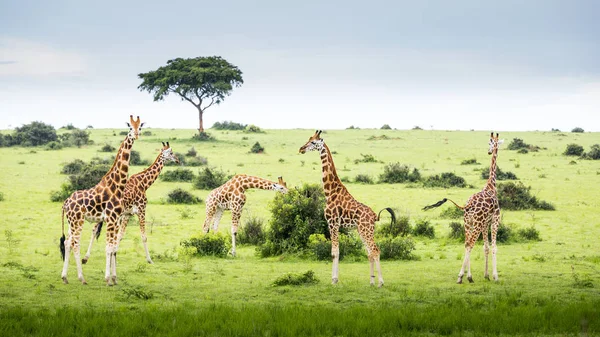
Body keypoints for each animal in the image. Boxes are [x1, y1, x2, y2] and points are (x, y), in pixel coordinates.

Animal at [59, 115, 144, 284]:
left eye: (140, 127)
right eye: (130, 127)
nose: (136, 135)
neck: (117, 185)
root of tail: (65, 203)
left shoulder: (115, 219)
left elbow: (112, 247)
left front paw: (112, 278)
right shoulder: (111, 218)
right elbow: (109, 247)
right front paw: (108, 279)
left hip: (72, 222)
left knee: (67, 242)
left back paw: (65, 277)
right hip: (78, 221)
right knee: (75, 244)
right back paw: (82, 278)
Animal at [298, 130, 396, 284]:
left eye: (313, 142)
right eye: (308, 139)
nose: (301, 149)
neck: (330, 192)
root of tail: (375, 216)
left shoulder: (332, 222)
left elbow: (334, 252)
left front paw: (334, 280)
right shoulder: (335, 224)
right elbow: (336, 251)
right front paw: (335, 278)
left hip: (366, 230)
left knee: (375, 250)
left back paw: (380, 282)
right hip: (362, 230)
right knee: (370, 252)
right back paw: (372, 282)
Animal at [422, 133, 506, 282]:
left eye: (491, 143)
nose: (489, 151)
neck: (491, 185)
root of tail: (469, 204)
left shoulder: (485, 224)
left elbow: (486, 247)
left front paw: (486, 275)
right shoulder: (495, 220)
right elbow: (494, 247)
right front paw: (495, 276)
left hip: (468, 222)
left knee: (467, 244)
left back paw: (467, 276)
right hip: (476, 223)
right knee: (470, 244)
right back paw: (463, 276)